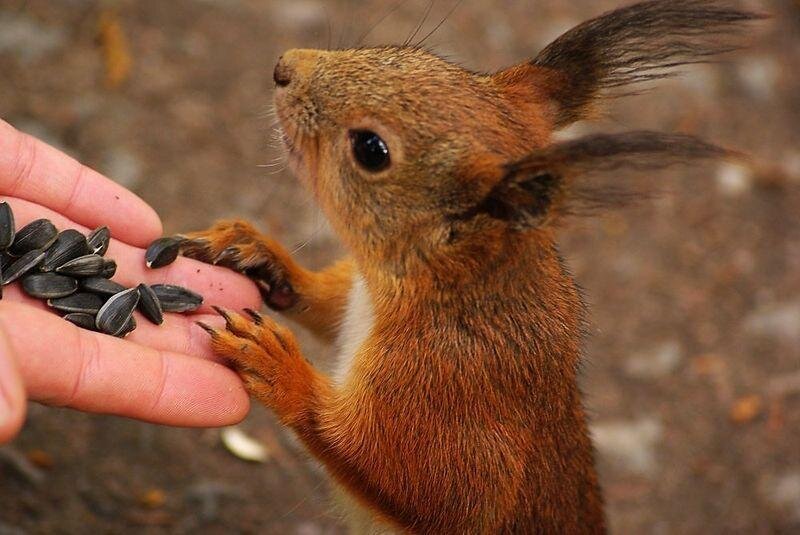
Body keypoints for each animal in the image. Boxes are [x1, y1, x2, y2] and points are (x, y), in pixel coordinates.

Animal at [181, 2, 764, 532]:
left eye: (371, 149)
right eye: (411, 54)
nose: (285, 67)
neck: (450, 290)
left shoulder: (451, 389)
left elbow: (423, 484)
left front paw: (277, 366)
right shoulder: (359, 298)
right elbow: (324, 303)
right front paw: (256, 251)